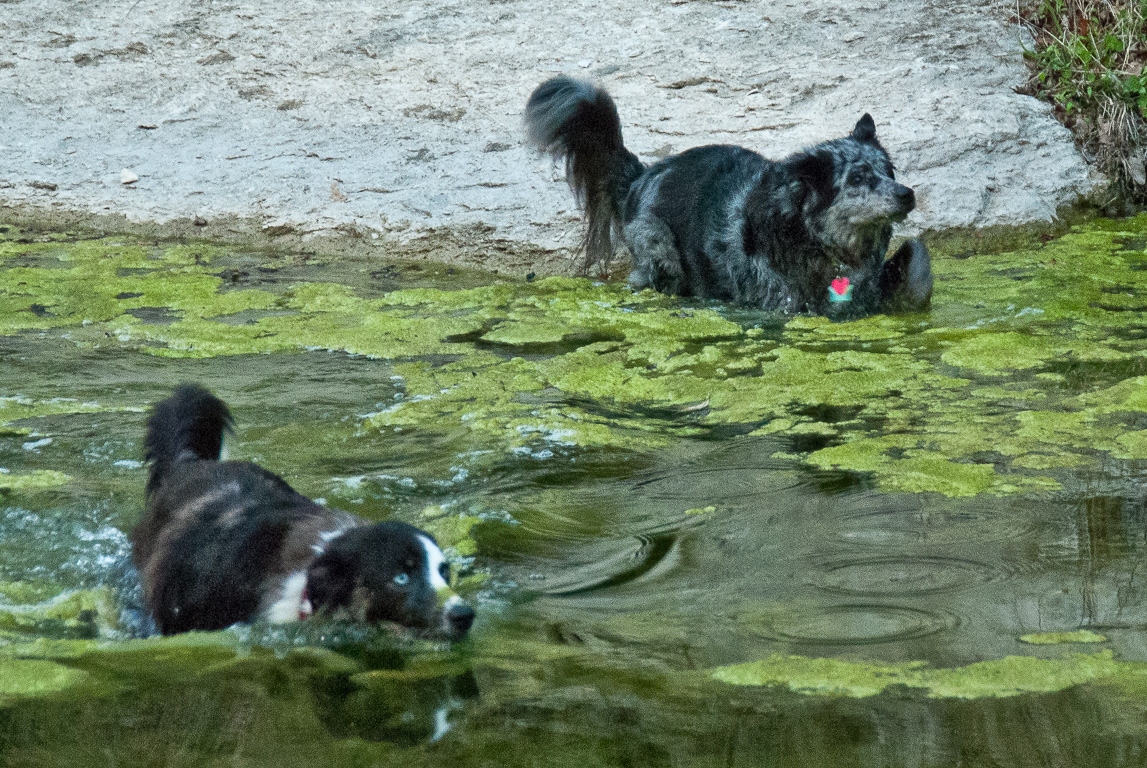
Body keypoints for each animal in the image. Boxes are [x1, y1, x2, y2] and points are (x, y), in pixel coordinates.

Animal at [525, 76, 931, 316]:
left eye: (889, 171)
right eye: (858, 177)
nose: (907, 195)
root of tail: (643, 174)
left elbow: (917, 262)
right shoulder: (778, 302)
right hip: (659, 253)